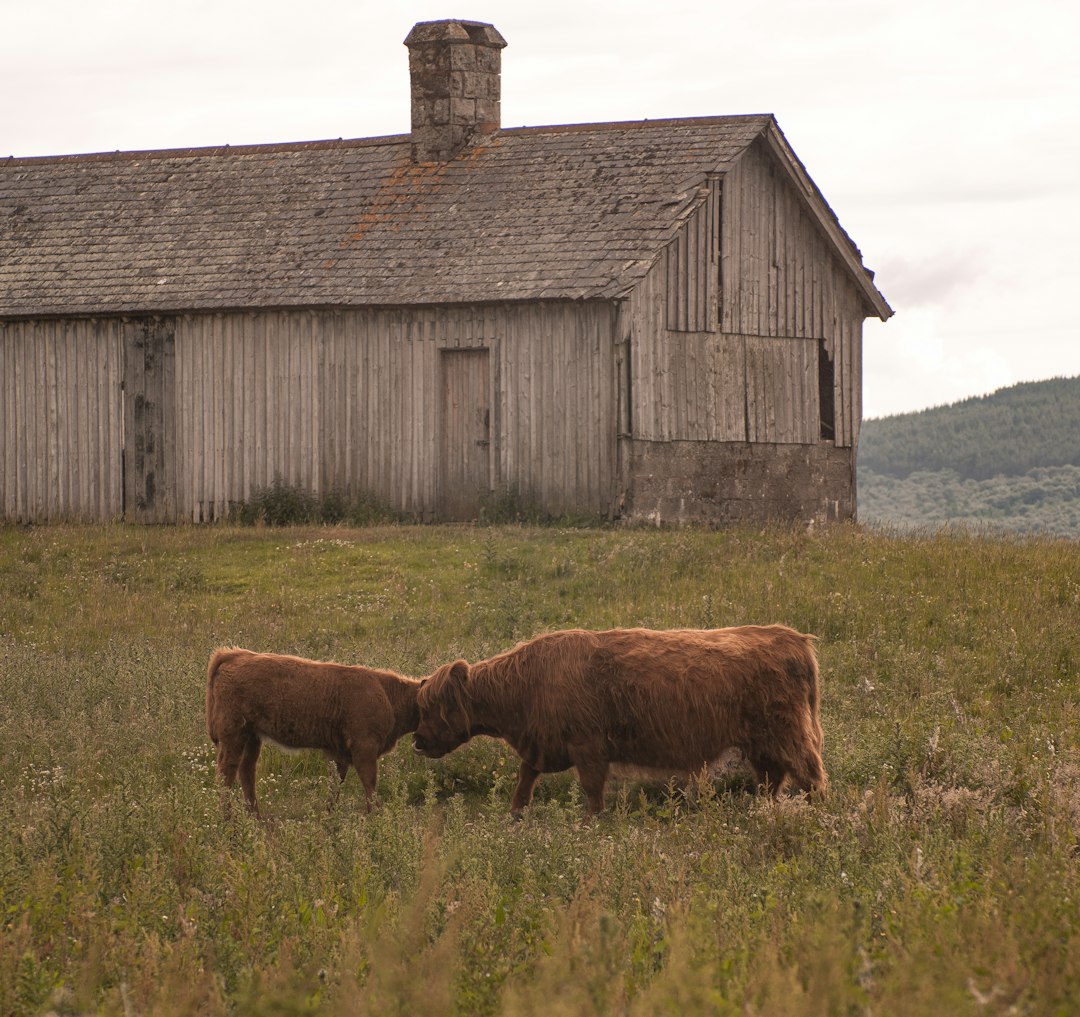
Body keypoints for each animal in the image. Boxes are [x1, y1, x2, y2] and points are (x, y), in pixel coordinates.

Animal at [206, 652, 421, 820]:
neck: (387, 693)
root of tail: (233, 655)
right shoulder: (364, 748)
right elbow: (369, 782)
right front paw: (376, 816)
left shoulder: (338, 752)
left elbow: (336, 783)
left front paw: (329, 815)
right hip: (234, 735)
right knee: (227, 770)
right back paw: (228, 817)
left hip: (251, 736)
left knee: (246, 770)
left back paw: (255, 816)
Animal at [412, 630, 825, 820]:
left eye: (431, 707)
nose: (417, 741)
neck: (527, 685)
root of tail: (792, 638)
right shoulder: (541, 746)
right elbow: (524, 780)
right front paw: (515, 815)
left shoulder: (588, 747)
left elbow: (592, 789)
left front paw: (592, 822)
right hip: (762, 744)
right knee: (772, 779)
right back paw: (762, 811)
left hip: (790, 736)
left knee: (811, 776)